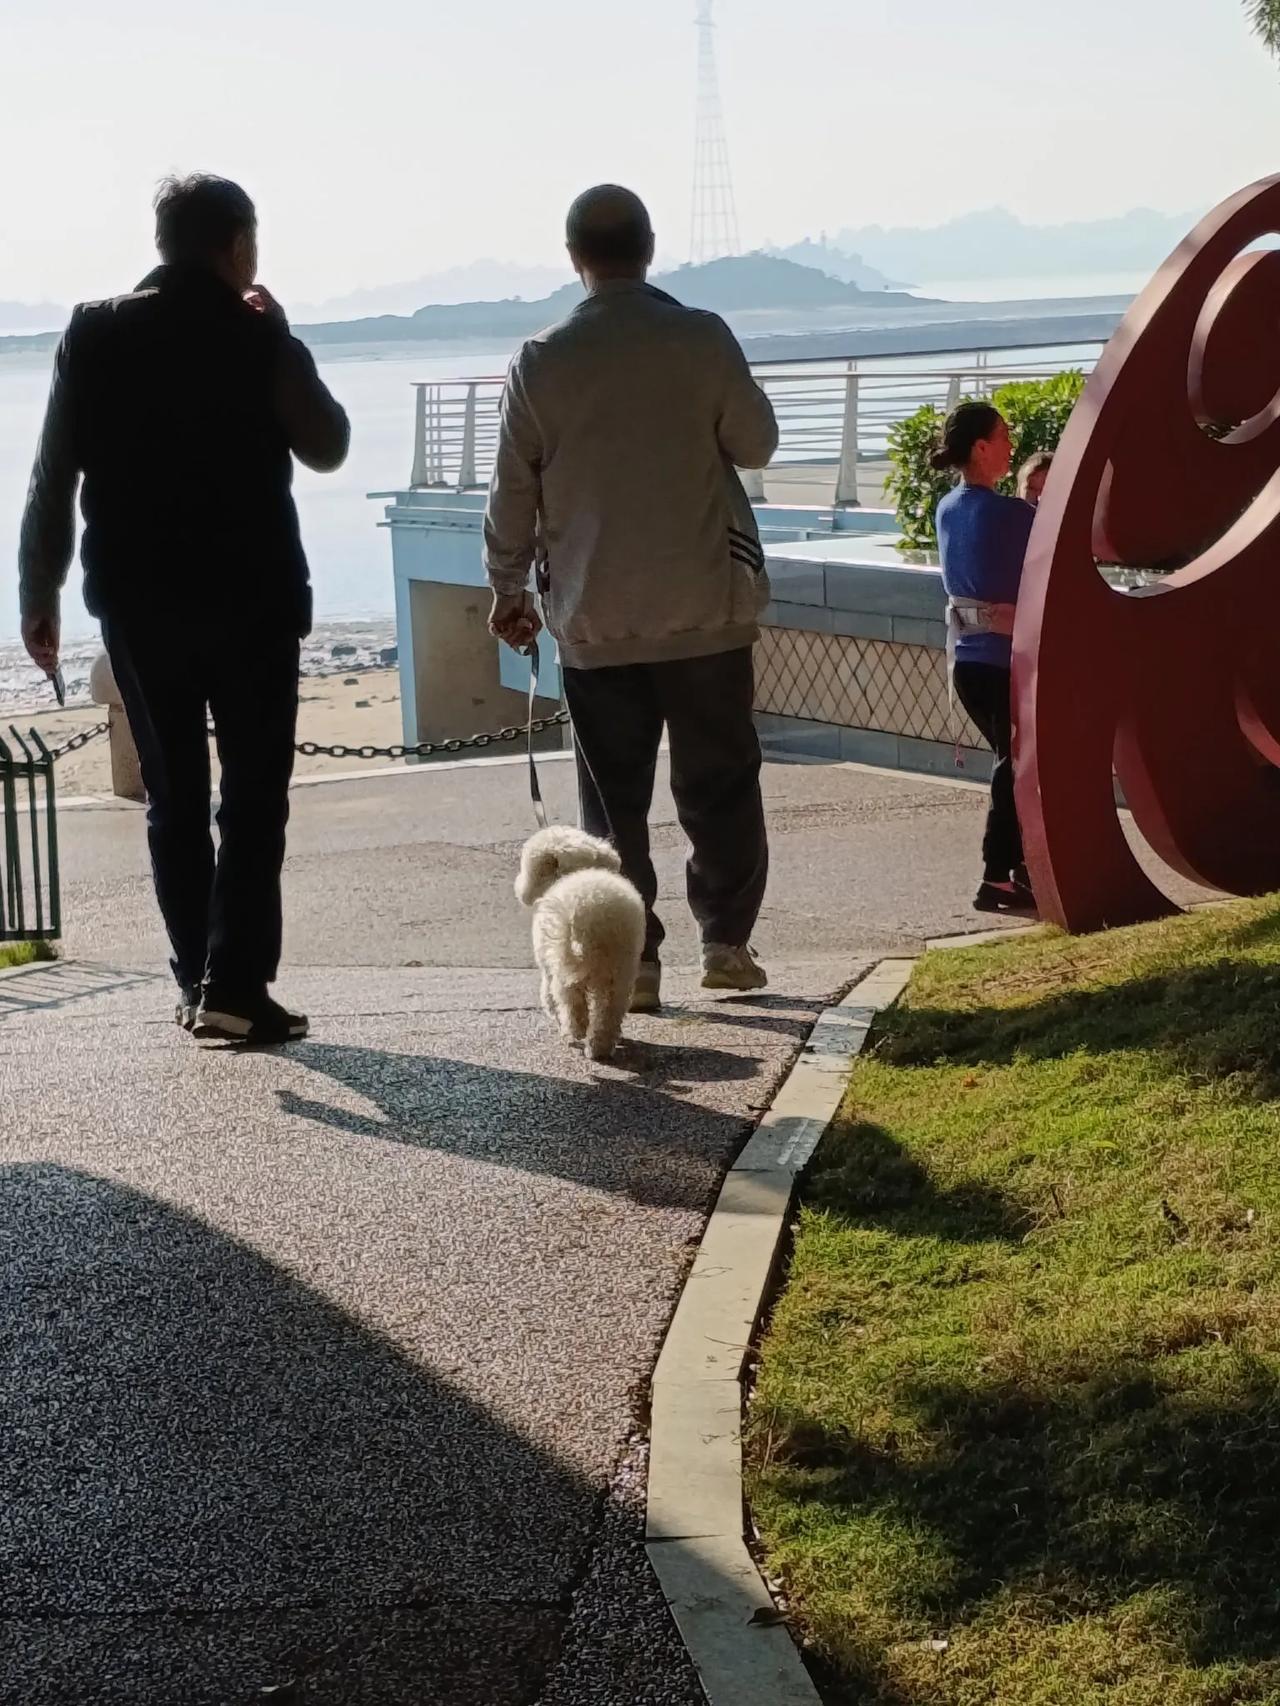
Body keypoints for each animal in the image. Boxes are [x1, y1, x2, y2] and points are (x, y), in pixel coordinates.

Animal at [515, 822, 645, 1050]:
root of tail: (593, 913)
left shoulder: (548, 965)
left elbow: (549, 997)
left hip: (563, 963)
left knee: (570, 999)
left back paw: (576, 1030)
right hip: (621, 966)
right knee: (610, 1009)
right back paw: (600, 1046)